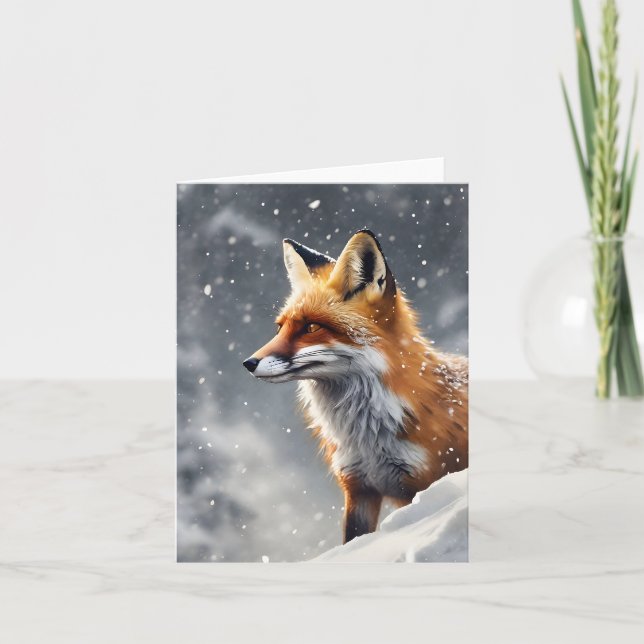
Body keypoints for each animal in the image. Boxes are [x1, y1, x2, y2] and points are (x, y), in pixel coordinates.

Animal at [242, 229, 468, 543]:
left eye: (311, 327)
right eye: (280, 327)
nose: (248, 363)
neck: (367, 437)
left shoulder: (422, 483)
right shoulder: (359, 487)